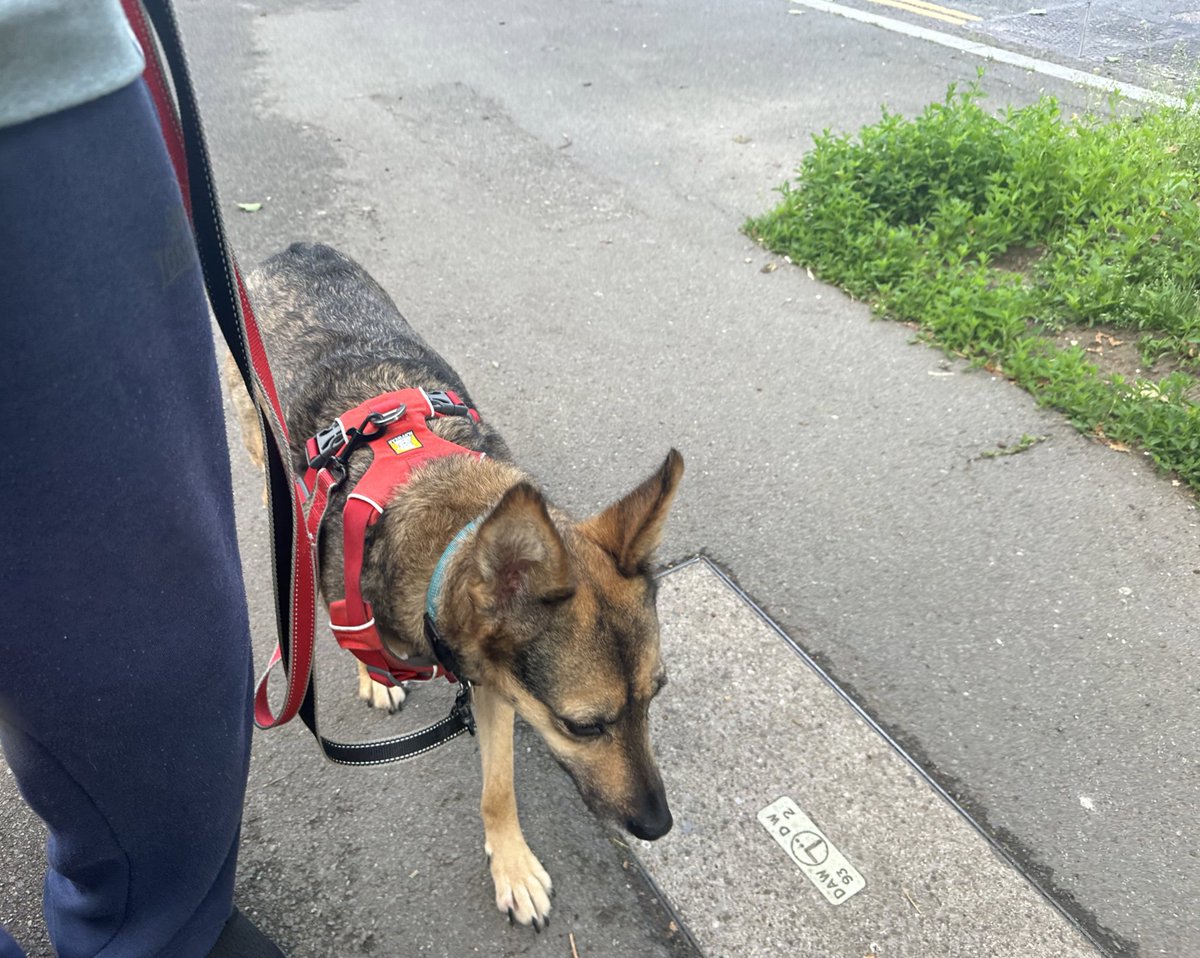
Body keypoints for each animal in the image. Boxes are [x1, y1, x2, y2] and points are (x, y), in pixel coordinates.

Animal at [231, 243, 686, 936]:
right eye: (582, 727)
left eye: (654, 696)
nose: (658, 827)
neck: (447, 522)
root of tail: (295, 250)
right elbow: (354, 637)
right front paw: (375, 674)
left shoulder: (497, 687)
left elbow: (498, 789)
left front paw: (512, 864)